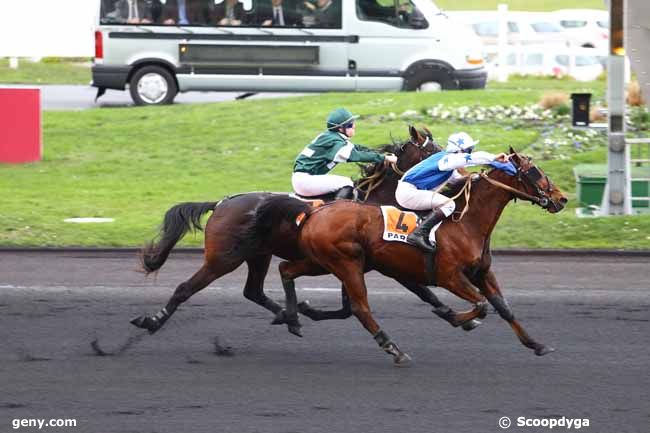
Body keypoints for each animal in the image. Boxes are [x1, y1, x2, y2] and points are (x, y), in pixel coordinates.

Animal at [129, 125, 478, 334]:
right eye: (433, 152)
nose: (460, 176)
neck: (375, 200)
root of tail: (222, 203)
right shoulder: (382, 262)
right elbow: (414, 291)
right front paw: (459, 316)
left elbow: (410, 294)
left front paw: (458, 318)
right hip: (222, 258)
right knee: (184, 288)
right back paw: (151, 321)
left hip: (258, 255)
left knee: (253, 291)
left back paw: (285, 314)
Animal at [253, 147, 568, 362]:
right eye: (535, 171)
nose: (562, 198)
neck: (466, 222)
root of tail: (313, 212)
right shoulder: (448, 276)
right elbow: (480, 305)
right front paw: (459, 318)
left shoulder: (481, 272)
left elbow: (504, 308)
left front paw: (536, 344)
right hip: (346, 264)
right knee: (360, 307)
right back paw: (393, 347)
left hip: (325, 261)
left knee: (287, 271)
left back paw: (294, 316)